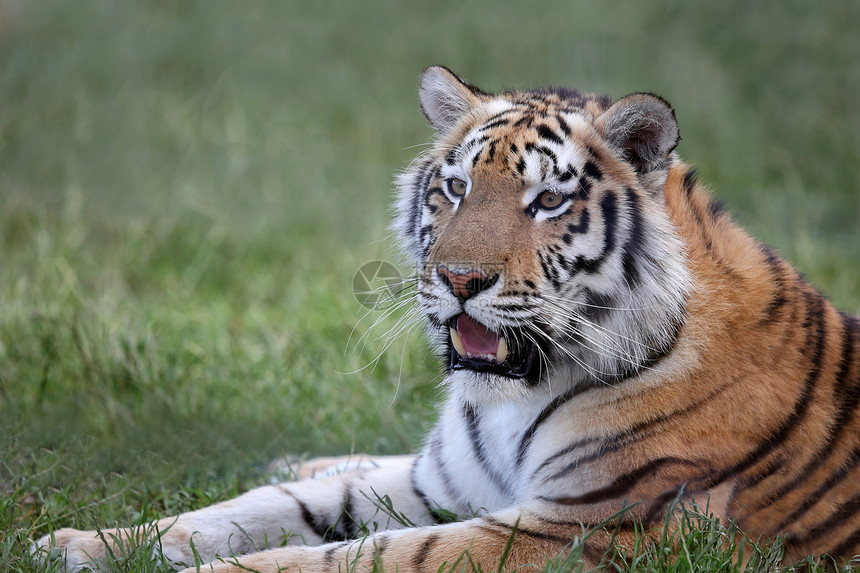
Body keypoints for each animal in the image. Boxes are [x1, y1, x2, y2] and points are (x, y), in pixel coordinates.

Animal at [38, 68, 860, 572]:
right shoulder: (448, 481)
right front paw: (78, 543)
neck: (514, 397)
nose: (459, 279)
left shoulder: (580, 528)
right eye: (457, 188)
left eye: (548, 201)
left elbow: (362, 555)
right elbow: (259, 507)